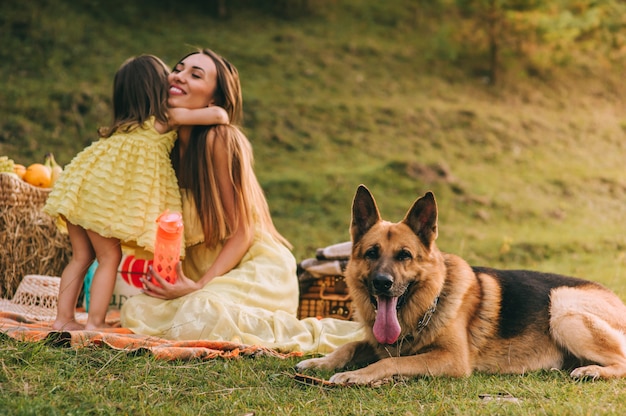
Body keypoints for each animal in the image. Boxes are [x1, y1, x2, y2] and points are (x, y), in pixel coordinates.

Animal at [294, 185, 624, 384]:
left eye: (404, 255)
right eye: (371, 253)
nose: (382, 283)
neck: (428, 302)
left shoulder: (450, 359)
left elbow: (389, 363)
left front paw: (357, 375)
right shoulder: (379, 342)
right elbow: (350, 345)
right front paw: (320, 362)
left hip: (562, 308)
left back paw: (591, 370)